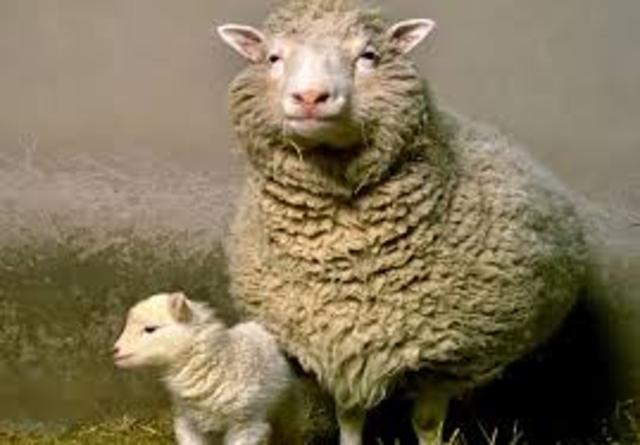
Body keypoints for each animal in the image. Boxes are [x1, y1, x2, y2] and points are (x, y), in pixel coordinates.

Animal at [113, 292, 316, 445]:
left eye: (150, 329)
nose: (115, 350)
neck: (220, 364)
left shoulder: (246, 425)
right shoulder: (188, 424)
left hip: (287, 404)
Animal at [217, 0, 588, 443]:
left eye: (369, 55)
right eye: (273, 57)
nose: (310, 96)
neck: (346, 256)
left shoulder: (445, 358)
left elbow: (427, 424)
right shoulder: (341, 344)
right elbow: (349, 416)